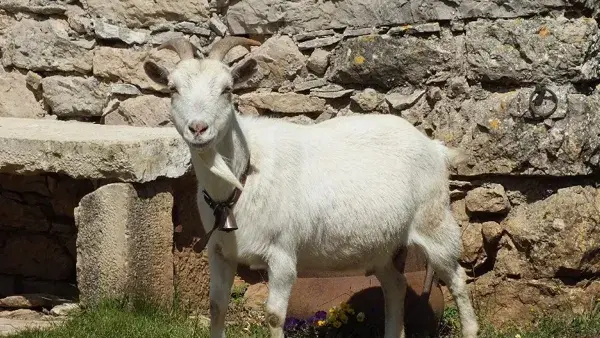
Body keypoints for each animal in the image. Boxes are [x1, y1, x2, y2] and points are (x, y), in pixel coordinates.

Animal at [144, 37, 478, 338]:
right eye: (172, 89)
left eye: (227, 89)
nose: (198, 128)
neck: (244, 174)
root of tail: (436, 147)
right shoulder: (219, 251)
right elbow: (216, 307)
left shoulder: (282, 254)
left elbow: (274, 316)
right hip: (381, 245)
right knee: (395, 285)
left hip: (434, 222)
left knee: (458, 279)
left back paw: (470, 328)